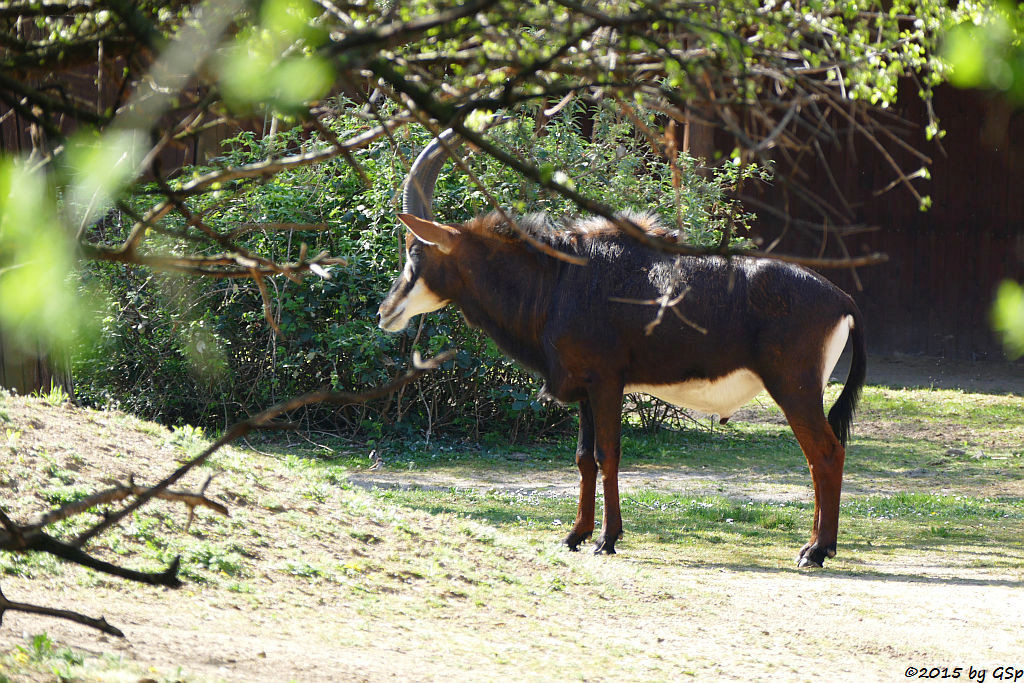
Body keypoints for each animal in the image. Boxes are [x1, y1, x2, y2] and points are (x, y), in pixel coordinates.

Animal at [380, 127, 868, 565]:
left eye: (414, 252)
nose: (386, 312)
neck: (557, 279)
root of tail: (843, 299)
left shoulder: (606, 382)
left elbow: (607, 454)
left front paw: (607, 539)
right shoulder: (583, 389)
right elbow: (582, 458)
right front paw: (575, 534)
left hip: (793, 387)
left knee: (826, 453)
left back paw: (816, 551)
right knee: (818, 457)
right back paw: (817, 546)